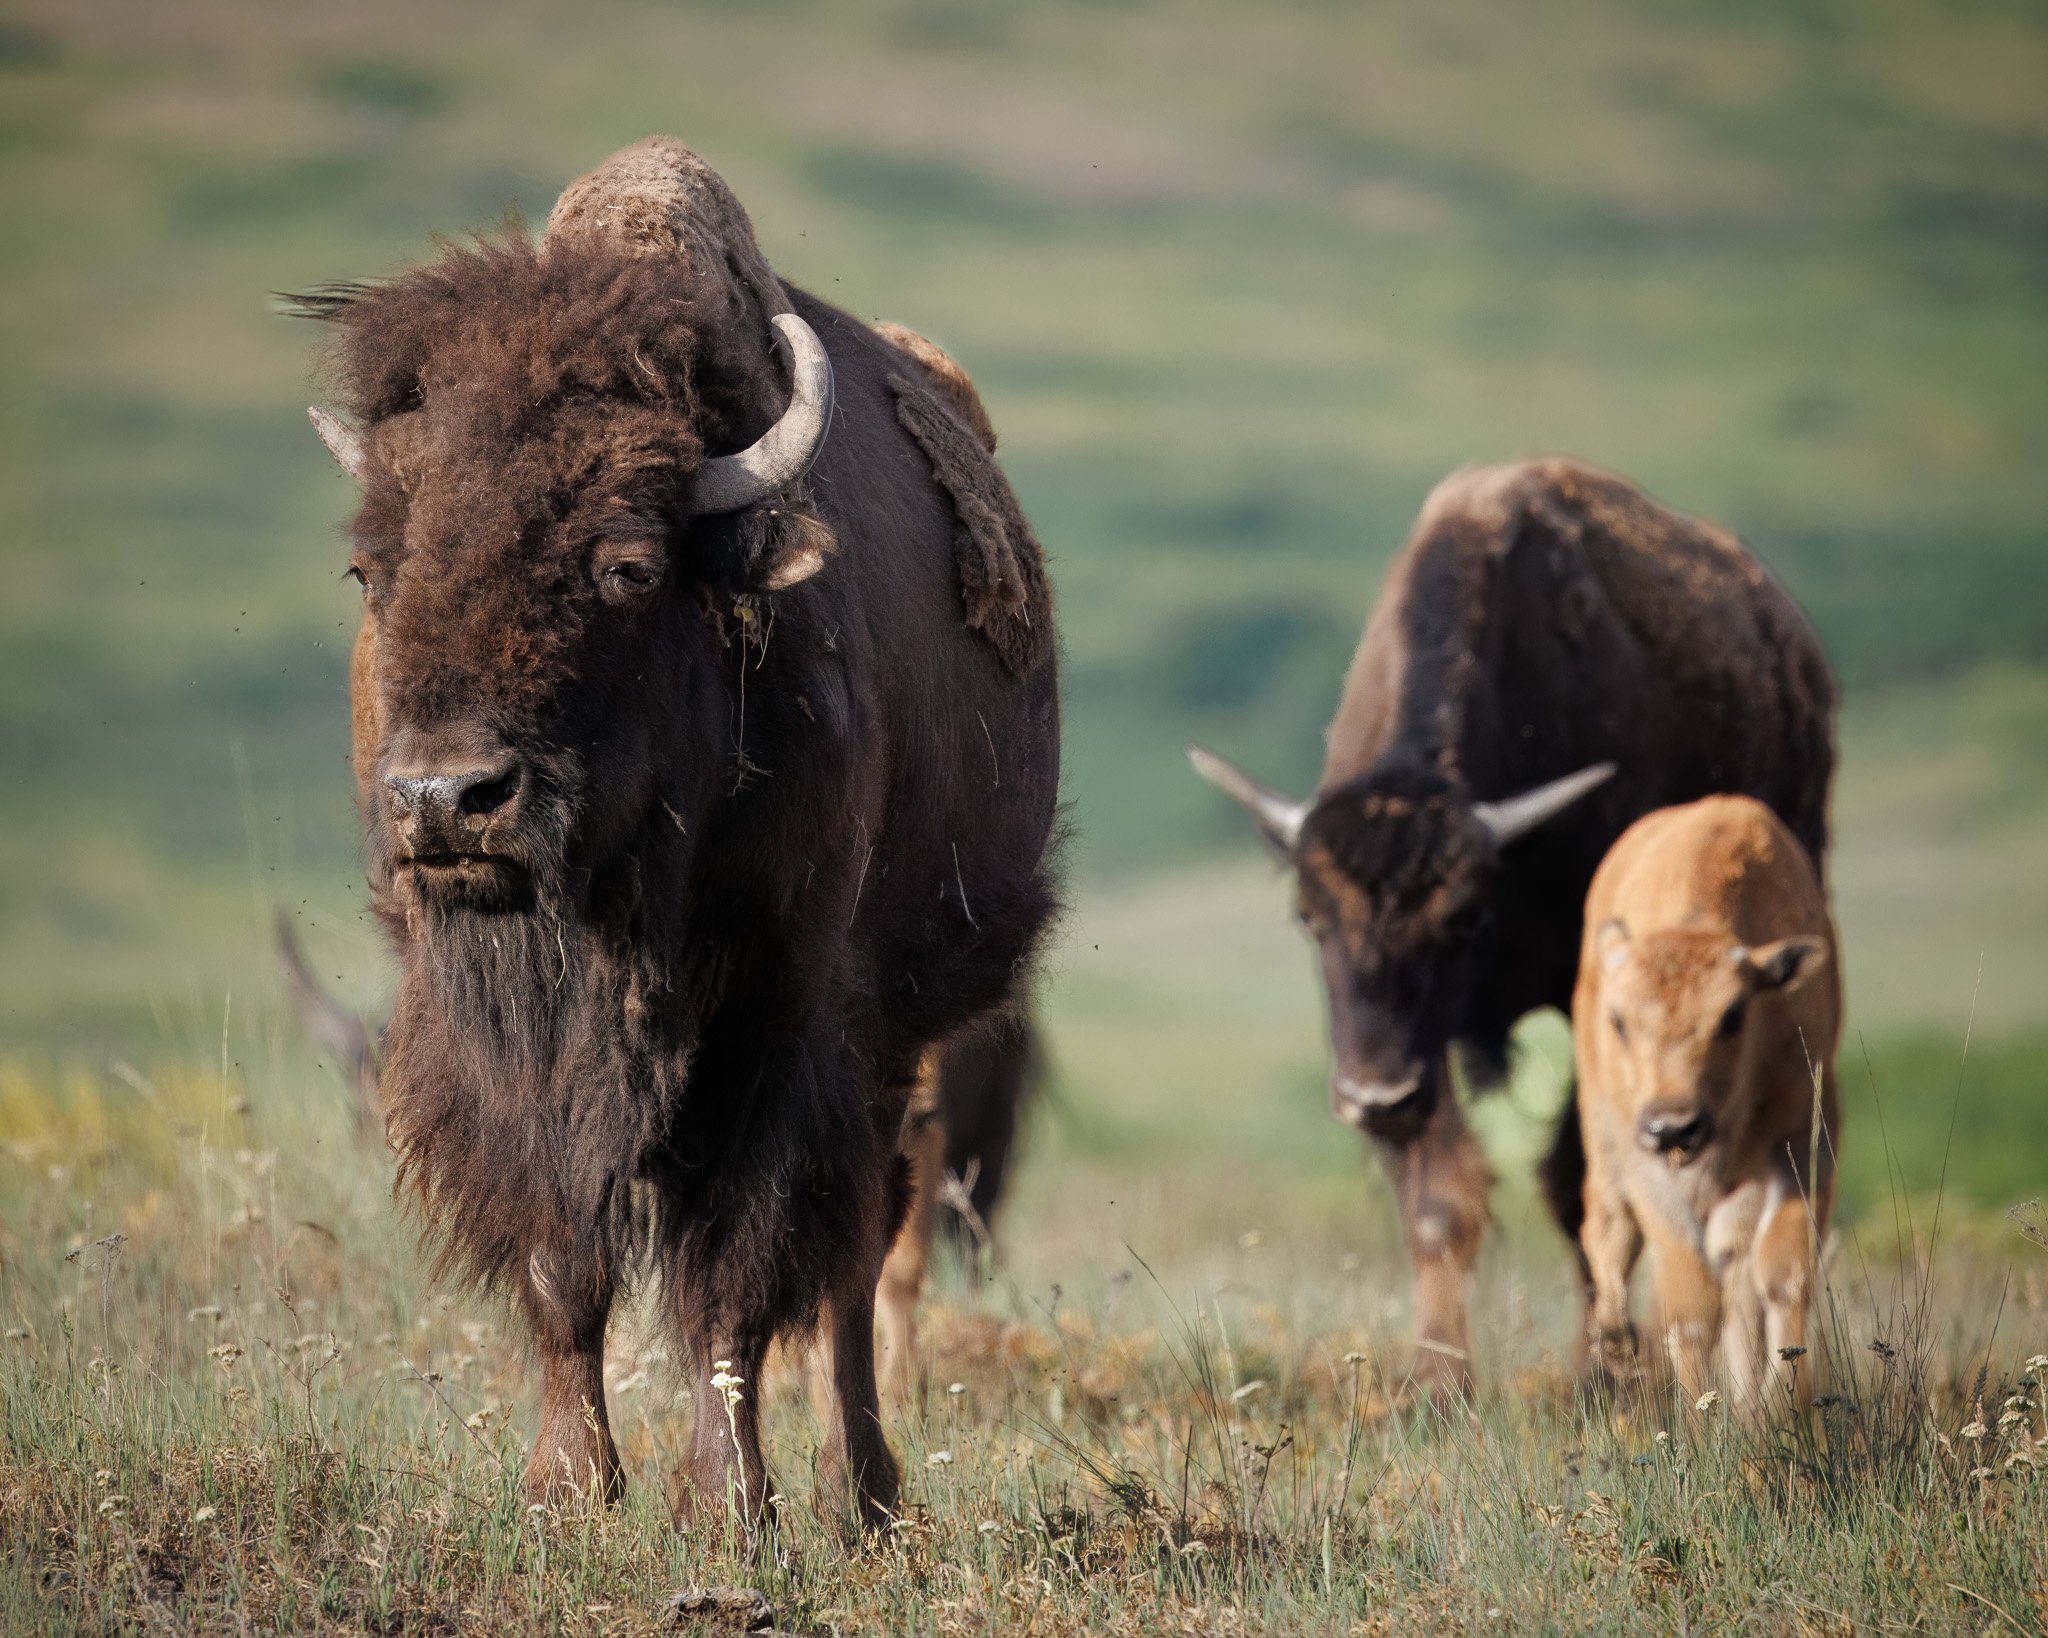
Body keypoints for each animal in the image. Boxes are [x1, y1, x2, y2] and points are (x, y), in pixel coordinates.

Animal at [293, 136, 1061, 1531]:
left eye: (627, 566)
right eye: (370, 572)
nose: (447, 800)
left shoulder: (779, 1019)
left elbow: (735, 1274)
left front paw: (726, 1505)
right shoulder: (496, 1039)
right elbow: (563, 1261)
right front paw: (566, 1490)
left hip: (898, 1039)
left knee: (858, 1257)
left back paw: (861, 1494)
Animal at [1574, 795, 1841, 1411]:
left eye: (1733, 1015)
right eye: (1618, 1022)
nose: (1674, 1127)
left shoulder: (1803, 1138)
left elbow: (1782, 1275)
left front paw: (1779, 1407)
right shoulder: (1648, 1165)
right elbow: (1691, 1305)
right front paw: (1701, 1421)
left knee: (1736, 1271)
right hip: (1604, 1132)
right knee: (1607, 1228)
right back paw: (1616, 1345)